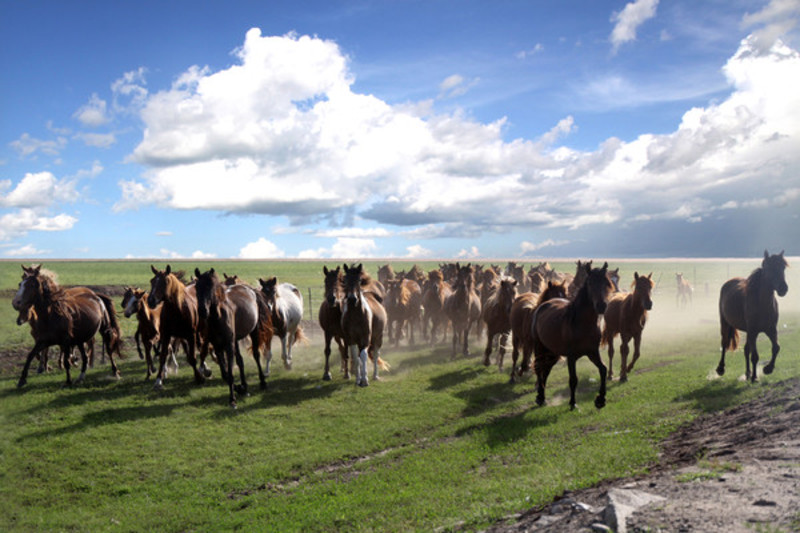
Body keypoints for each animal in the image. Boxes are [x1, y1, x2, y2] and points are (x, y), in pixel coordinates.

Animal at [532, 260, 612, 408]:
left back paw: (542, 396)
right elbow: (573, 379)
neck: (582, 324)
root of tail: (544, 304)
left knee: (546, 370)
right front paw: (573, 403)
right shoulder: (571, 357)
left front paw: (600, 399)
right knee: (540, 369)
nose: (601, 306)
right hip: (539, 348)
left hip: (553, 352)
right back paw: (540, 397)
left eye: (606, 283)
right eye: (590, 282)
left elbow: (603, 369)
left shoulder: (592, 352)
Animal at [720, 250, 788, 382]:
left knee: (746, 350)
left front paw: (768, 369)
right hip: (725, 324)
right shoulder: (753, 331)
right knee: (725, 343)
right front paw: (755, 377)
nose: (783, 288)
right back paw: (720, 369)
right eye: (769, 267)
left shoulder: (771, 329)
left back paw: (747, 373)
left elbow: (776, 347)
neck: (762, 305)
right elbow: (755, 356)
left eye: (783, 267)